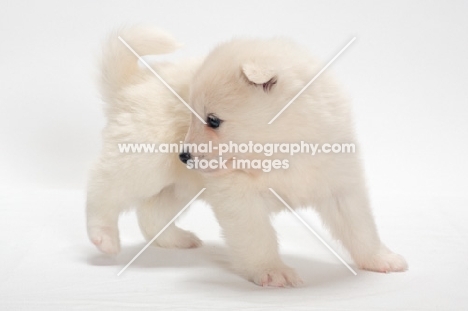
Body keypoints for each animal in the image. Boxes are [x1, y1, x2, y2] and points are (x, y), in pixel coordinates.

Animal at [87, 26, 406, 288]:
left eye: (213, 120)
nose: (183, 156)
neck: (284, 150)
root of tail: (133, 83)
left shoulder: (340, 183)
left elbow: (361, 227)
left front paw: (380, 259)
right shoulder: (239, 196)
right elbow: (257, 236)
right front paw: (272, 271)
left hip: (182, 185)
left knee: (151, 212)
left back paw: (176, 239)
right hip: (142, 164)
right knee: (104, 190)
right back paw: (103, 235)